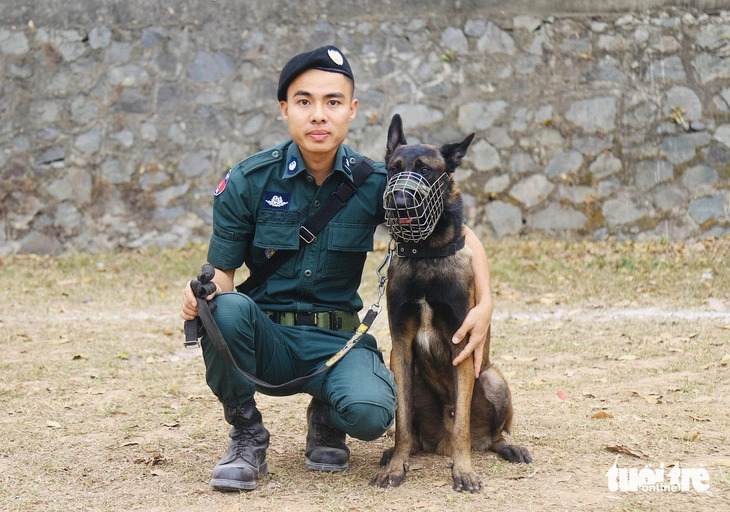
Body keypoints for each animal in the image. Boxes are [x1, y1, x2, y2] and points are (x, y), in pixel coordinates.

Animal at [370, 115, 528, 492]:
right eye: (393, 169)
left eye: (425, 170)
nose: (400, 200)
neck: (426, 254)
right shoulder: (400, 347)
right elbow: (401, 423)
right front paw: (395, 468)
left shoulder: (462, 345)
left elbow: (462, 428)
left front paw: (464, 471)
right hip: (407, 378)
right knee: (412, 432)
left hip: (493, 380)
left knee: (490, 434)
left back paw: (507, 447)